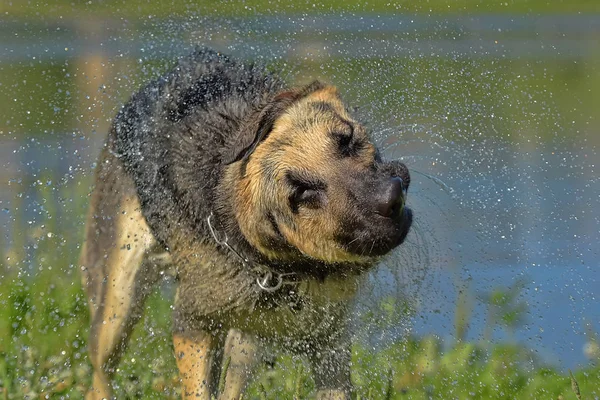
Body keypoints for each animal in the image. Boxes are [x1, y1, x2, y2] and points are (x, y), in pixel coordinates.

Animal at [81, 48, 412, 398]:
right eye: (301, 192)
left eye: (346, 140)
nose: (390, 198)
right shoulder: (192, 324)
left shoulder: (329, 340)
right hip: (118, 301)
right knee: (100, 374)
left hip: (243, 348)